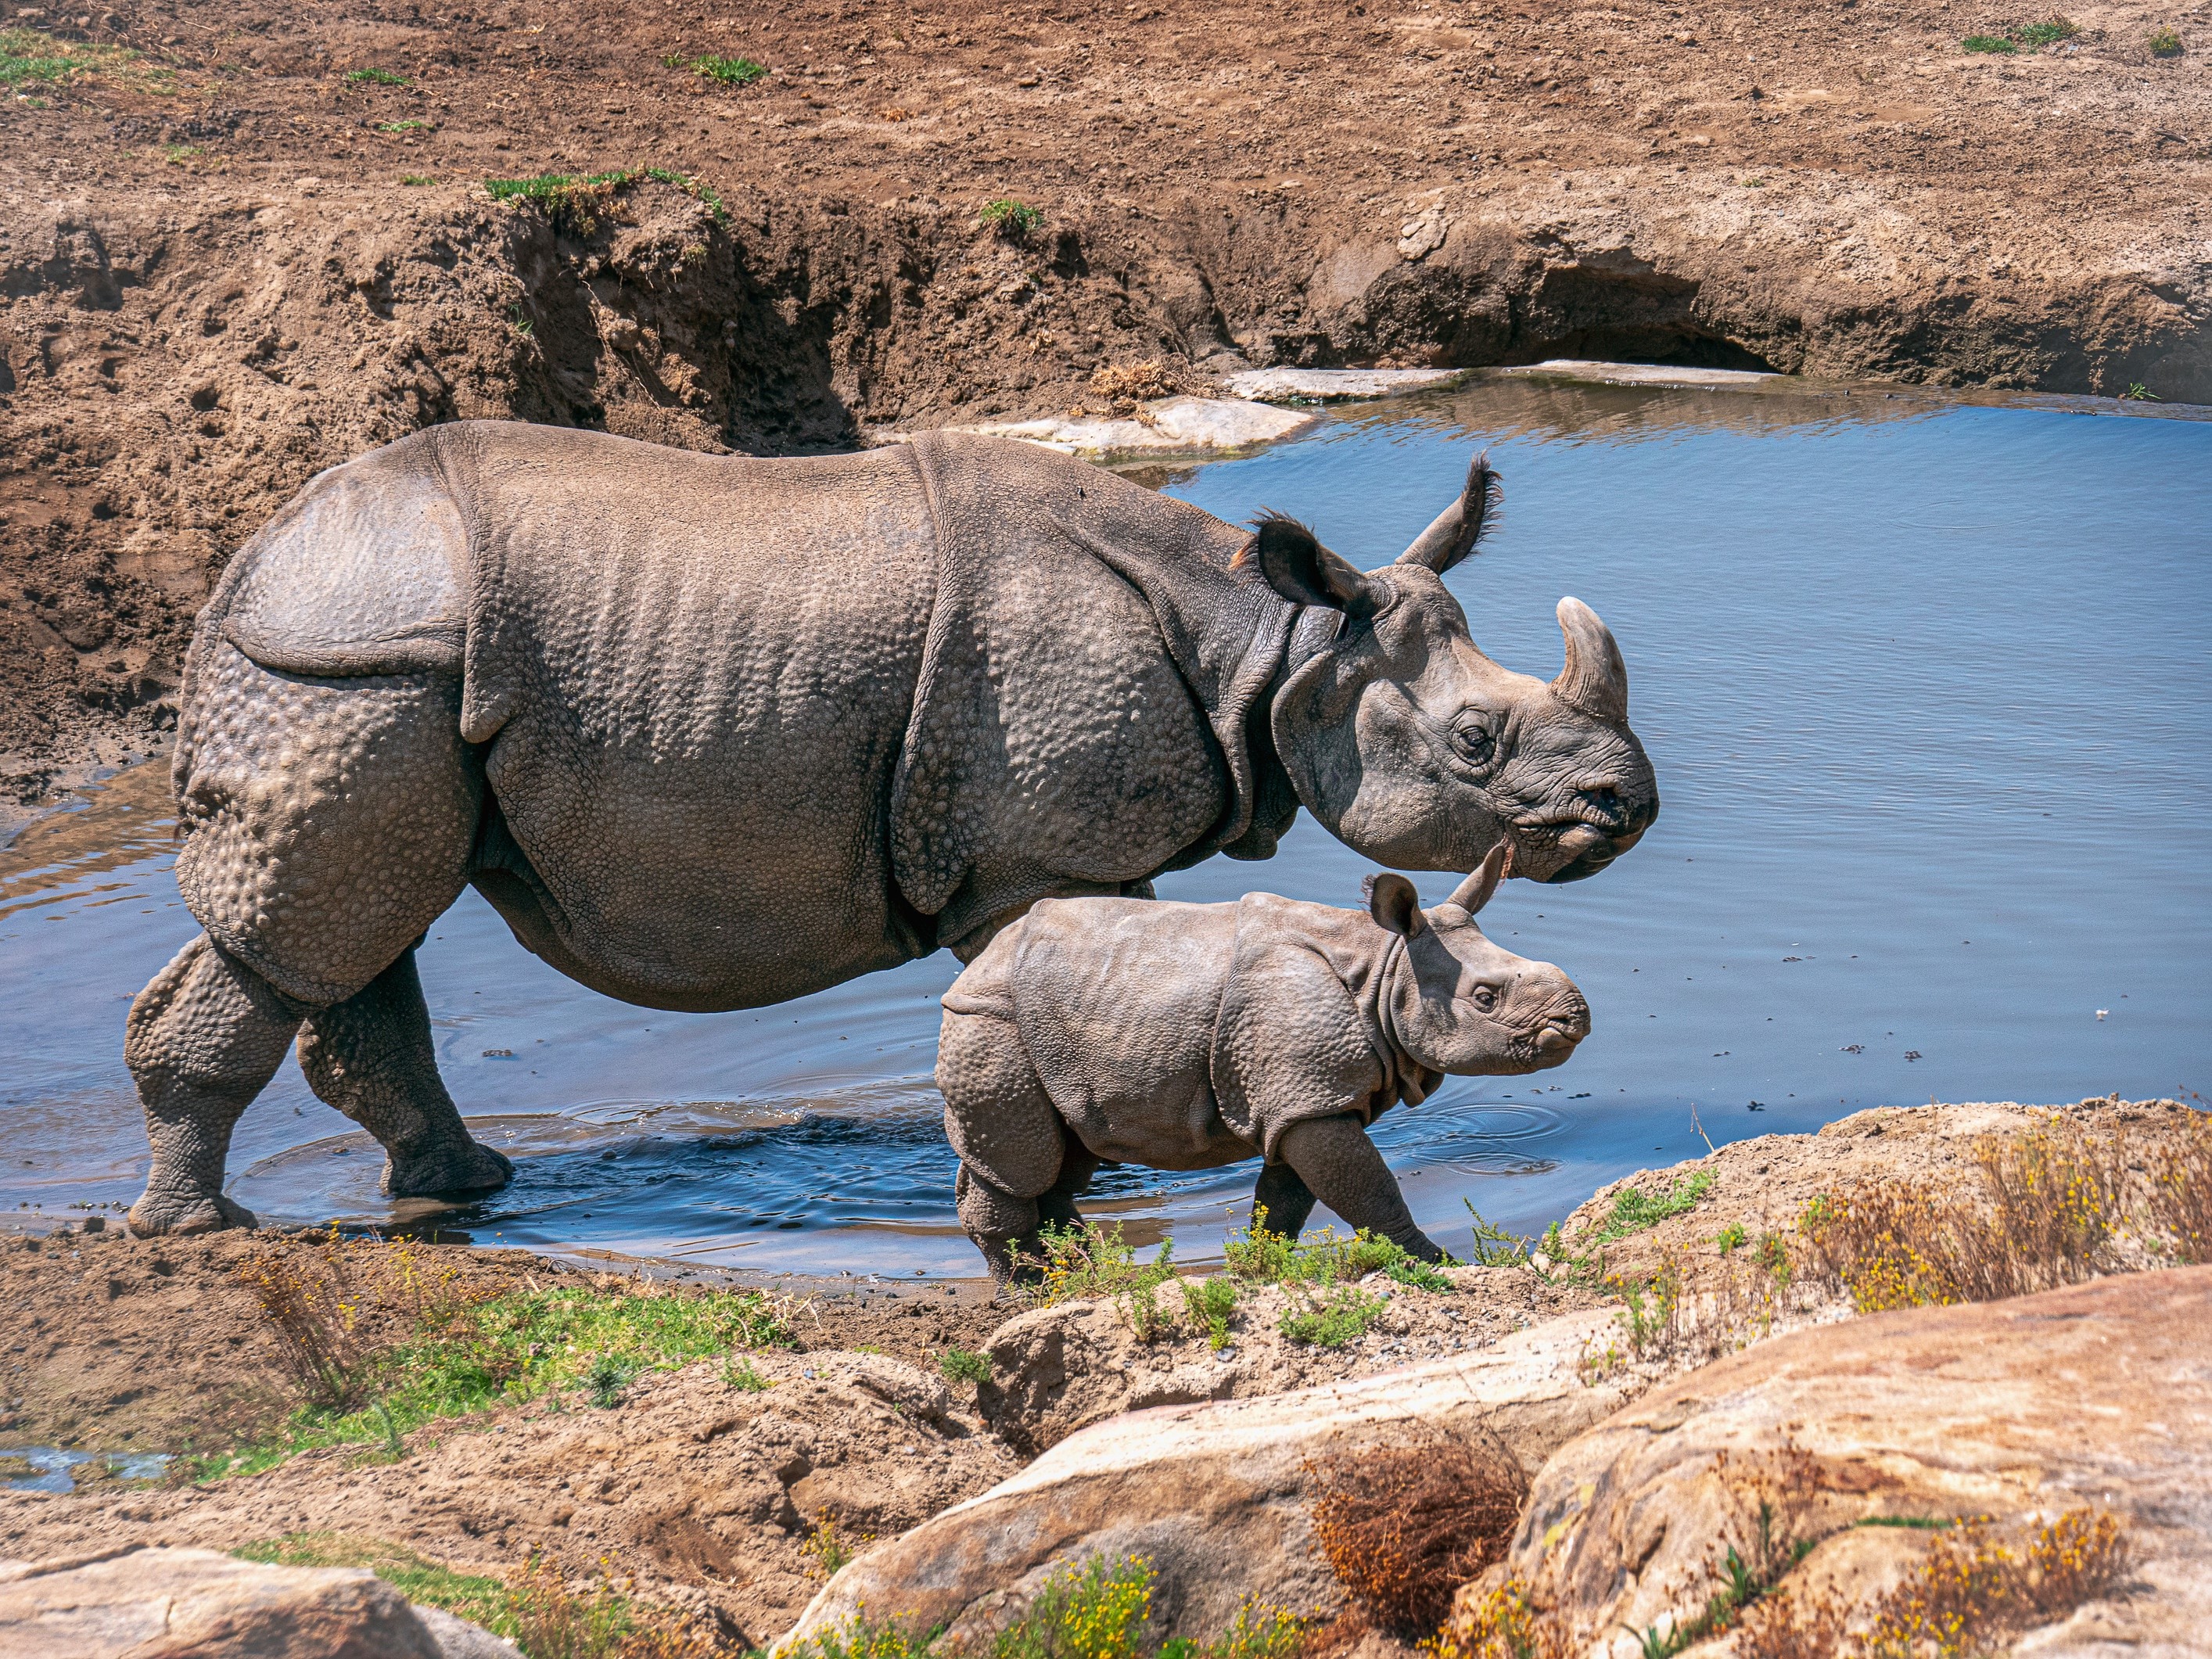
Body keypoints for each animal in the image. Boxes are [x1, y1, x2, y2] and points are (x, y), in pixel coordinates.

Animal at [936, 845, 1585, 1281]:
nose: (1576, 1016)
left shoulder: (1300, 1099)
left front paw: (1260, 1269)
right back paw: (1031, 1286)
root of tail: (974, 968)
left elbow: (1285, 1199)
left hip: (1053, 1020)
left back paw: (1088, 1269)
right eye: (1485, 997)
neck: (1383, 968)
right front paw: (1439, 1263)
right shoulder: (1310, 1095)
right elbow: (1370, 1192)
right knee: (1024, 1161)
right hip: (991, 1020)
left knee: (1069, 1152)